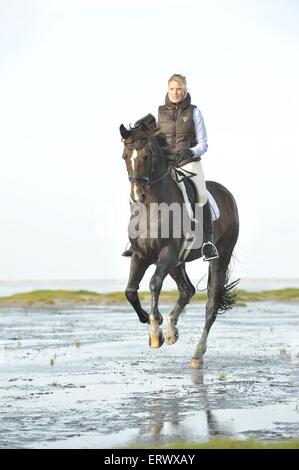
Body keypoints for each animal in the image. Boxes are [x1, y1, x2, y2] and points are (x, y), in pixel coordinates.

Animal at [119, 117, 239, 368]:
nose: (136, 195)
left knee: (211, 305)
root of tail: (227, 194)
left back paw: (197, 354)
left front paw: (155, 331)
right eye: (125, 156)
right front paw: (151, 322)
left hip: (218, 259)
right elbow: (130, 291)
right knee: (187, 290)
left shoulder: (167, 253)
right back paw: (172, 330)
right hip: (178, 263)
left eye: (147, 155)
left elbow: (154, 284)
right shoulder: (141, 255)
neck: (151, 208)